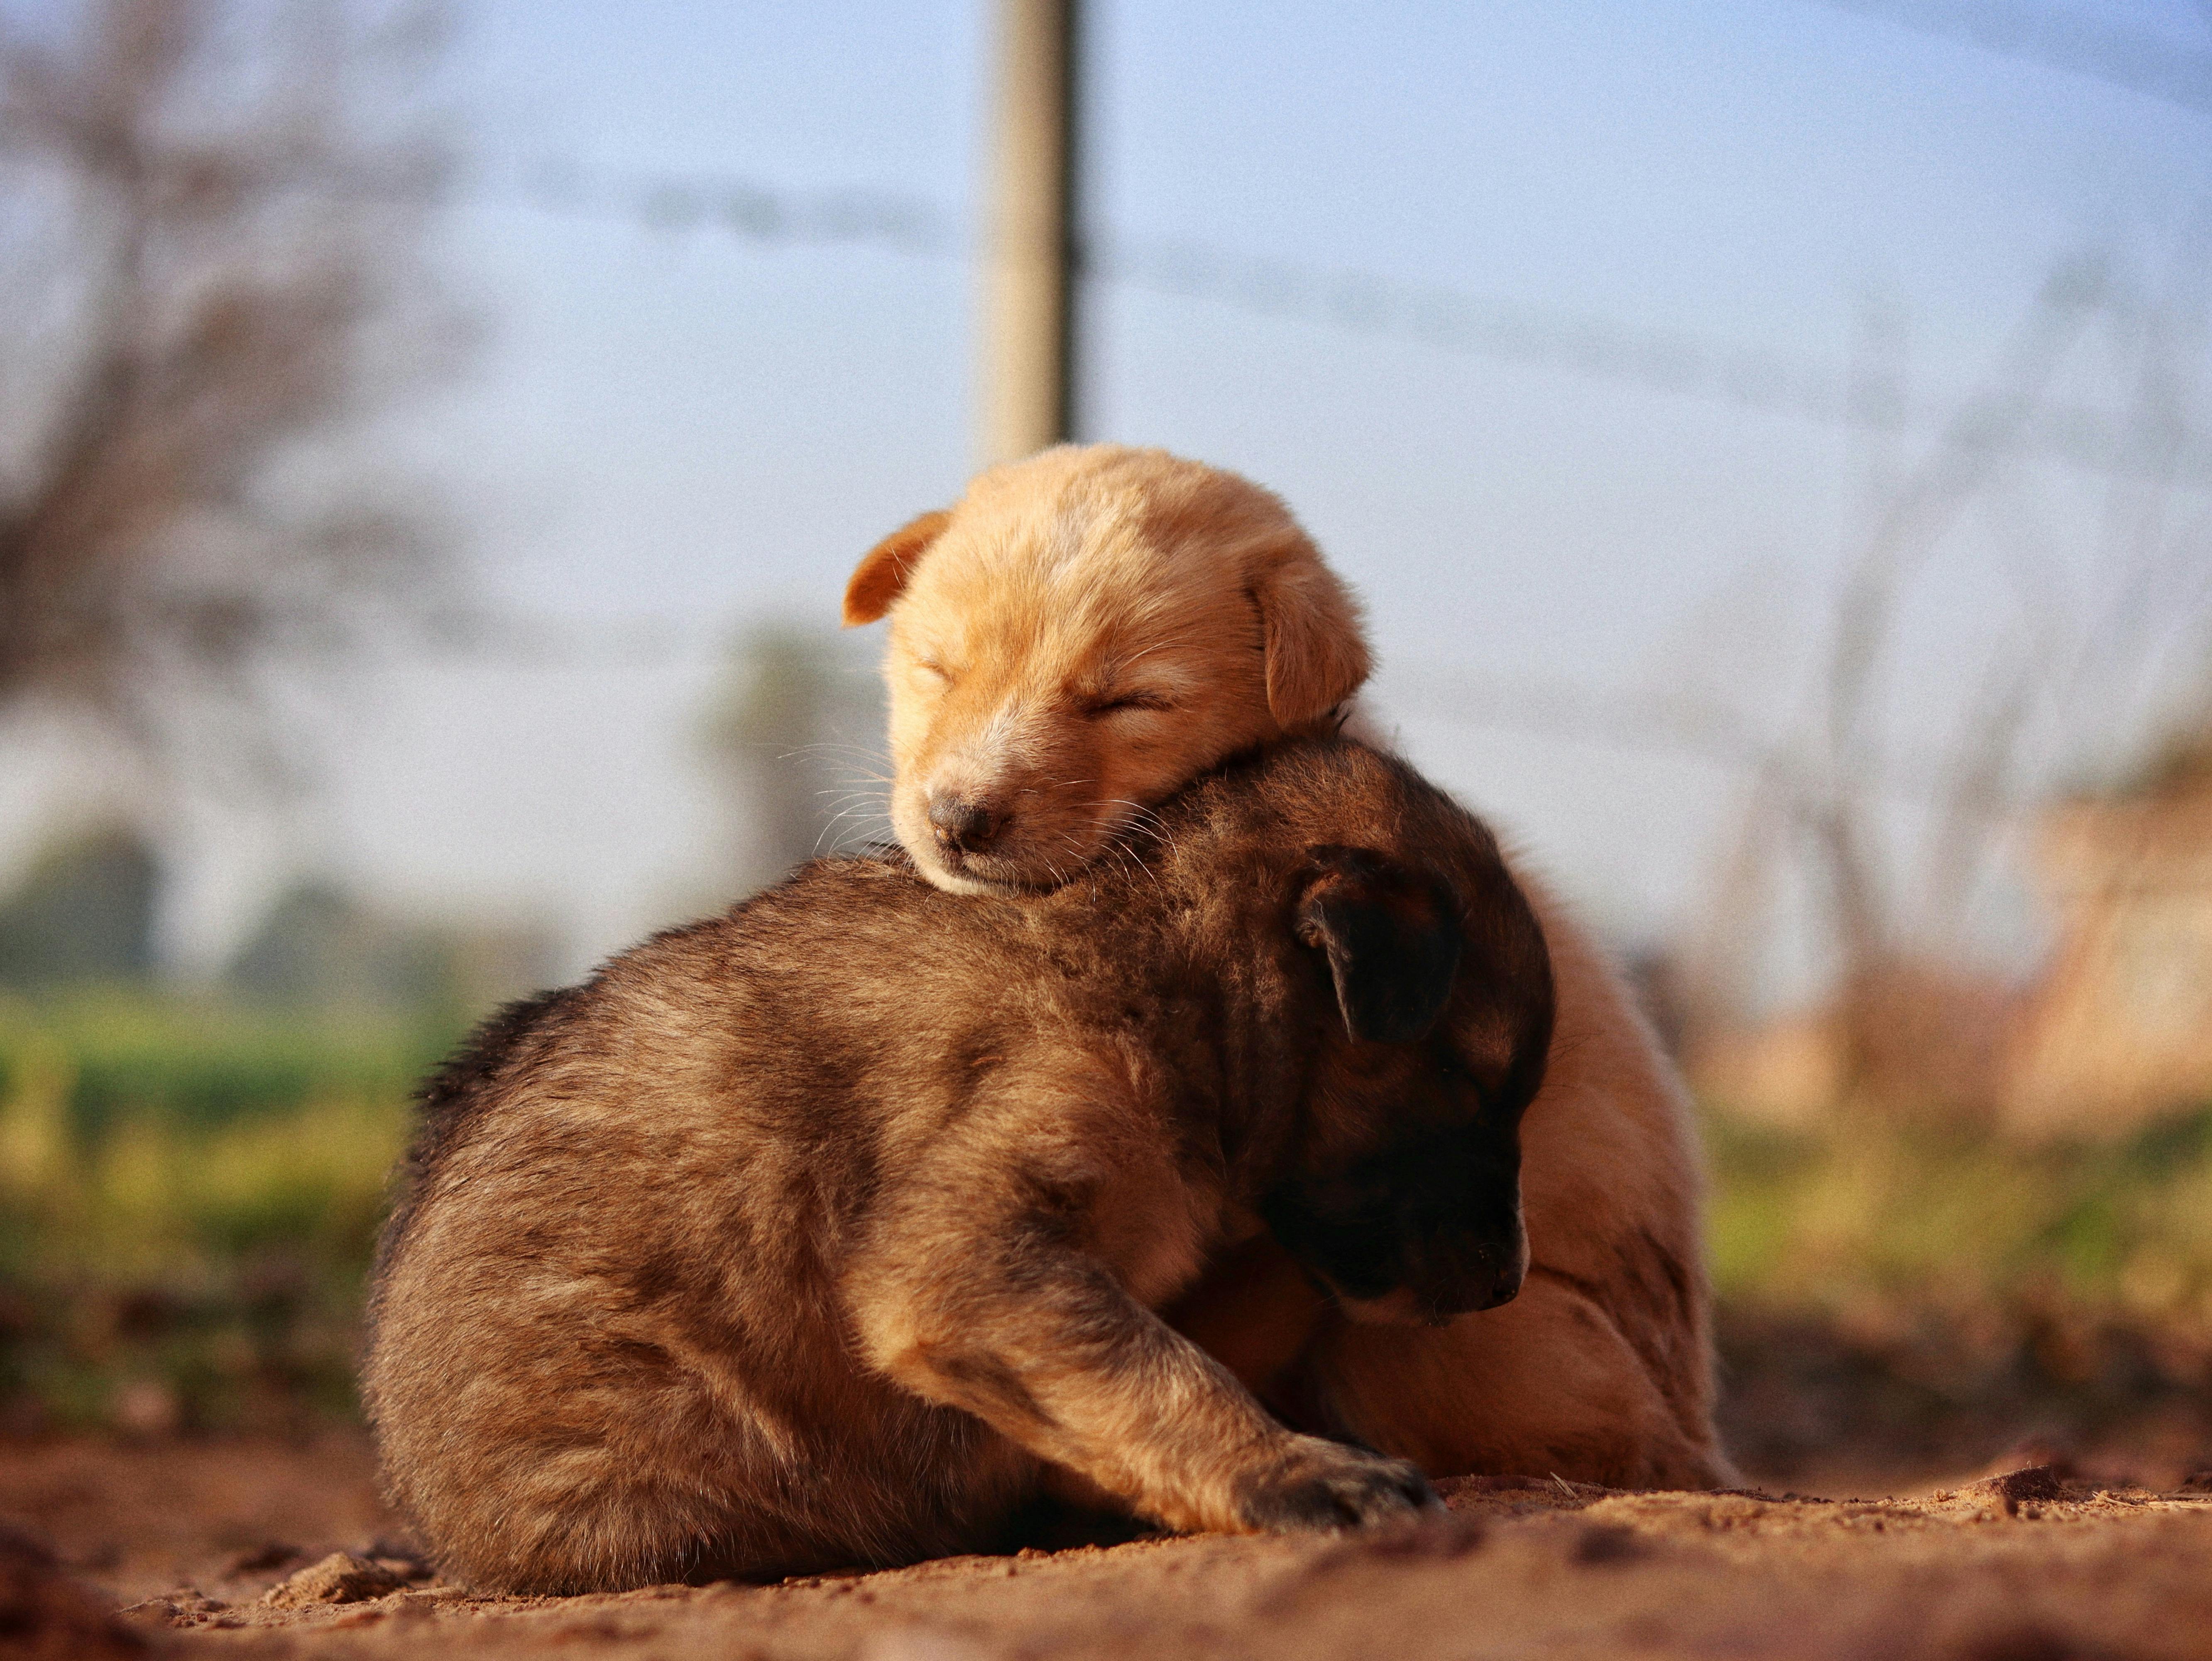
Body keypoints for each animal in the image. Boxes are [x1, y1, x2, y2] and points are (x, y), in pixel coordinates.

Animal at [362, 743, 1557, 1601]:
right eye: (1483, 1086)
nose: (1509, 1284)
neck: (1168, 967)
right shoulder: (966, 1253)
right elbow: (1165, 1373)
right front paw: (1296, 1471)